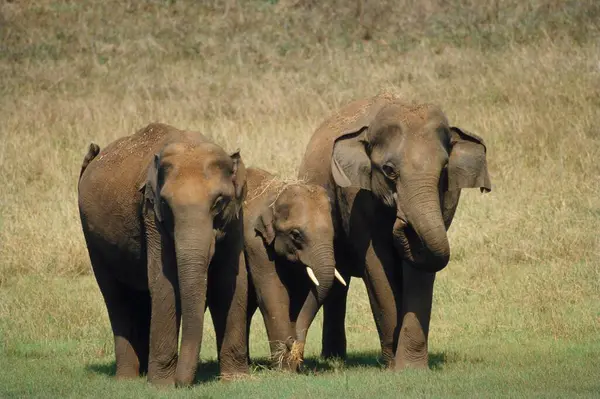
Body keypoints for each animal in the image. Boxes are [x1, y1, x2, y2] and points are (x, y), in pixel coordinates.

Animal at [78, 122, 251, 388]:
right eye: (167, 205)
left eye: (218, 202)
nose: (183, 383)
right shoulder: (151, 214)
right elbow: (164, 283)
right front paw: (161, 385)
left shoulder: (235, 218)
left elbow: (230, 282)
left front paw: (236, 380)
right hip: (92, 238)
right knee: (115, 295)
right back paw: (127, 379)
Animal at [241, 168, 344, 372]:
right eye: (296, 235)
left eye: (333, 234)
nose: (292, 343)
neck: (275, 195)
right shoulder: (255, 243)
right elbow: (272, 295)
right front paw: (285, 368)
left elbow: (298, 298)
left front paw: (293, 365)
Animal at [298, 94, 490, 372]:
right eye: (389, 170)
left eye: (444, 169)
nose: (402, 222)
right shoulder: (356, 197)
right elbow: (378, 264)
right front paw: (392, 365)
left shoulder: (447, 201)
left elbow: (421, 270)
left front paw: (410, 368)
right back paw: (334, 359)